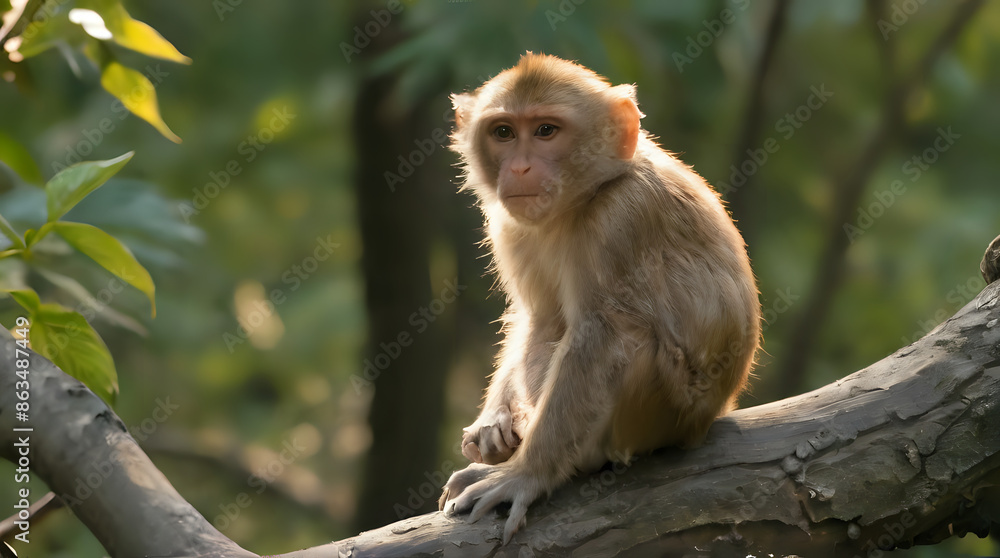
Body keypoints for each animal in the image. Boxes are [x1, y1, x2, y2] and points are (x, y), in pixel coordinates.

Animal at [438, 53, 761, 543]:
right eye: (504, 132)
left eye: (546, 130)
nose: (520, 169)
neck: (587, 197)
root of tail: (709, 418)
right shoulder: (510, 226)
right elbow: (536, 316)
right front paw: (493, 425)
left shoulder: (621, 220)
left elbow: (601, 336)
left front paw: (526, 474)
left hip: (662, 412)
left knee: (621, 339)